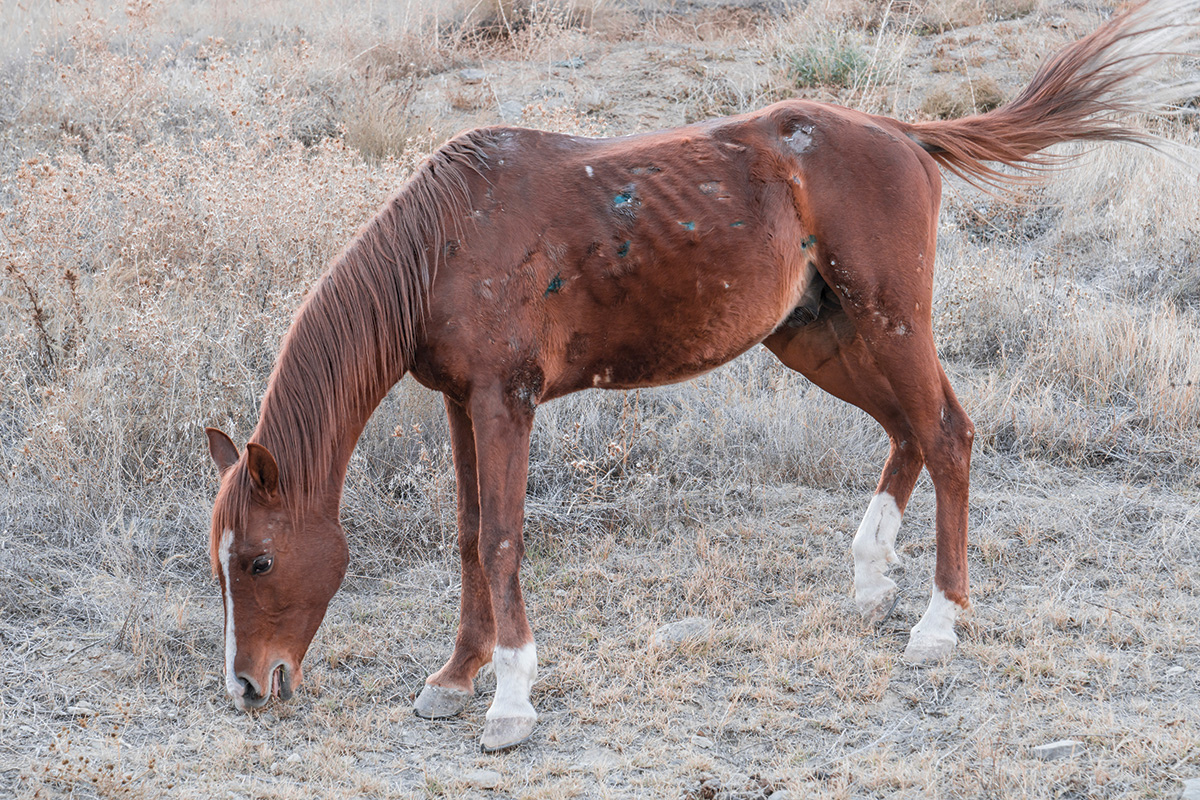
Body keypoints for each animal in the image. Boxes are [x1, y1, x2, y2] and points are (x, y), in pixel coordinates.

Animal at [206, 1, 1200, 753]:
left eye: (259, 560)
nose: (249, 688)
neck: (445, 241)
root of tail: (899, 131)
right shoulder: (461, 402)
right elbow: (465, 538)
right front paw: (455, 677)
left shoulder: (505, 403)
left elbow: (501, 541)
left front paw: (511, 701)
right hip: (818, 338)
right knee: (912, 430)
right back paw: (872, 575)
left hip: (890, 320)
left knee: (947, 436)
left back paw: (938, 623)